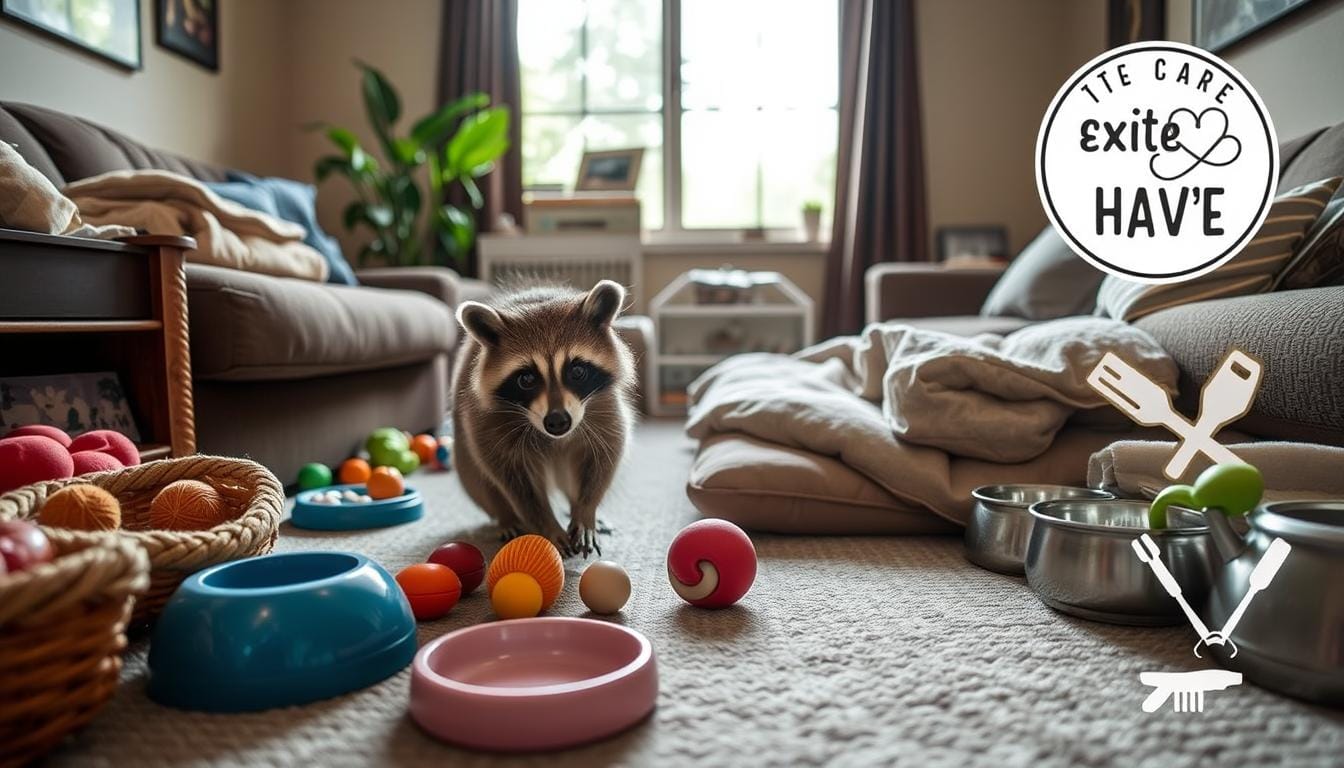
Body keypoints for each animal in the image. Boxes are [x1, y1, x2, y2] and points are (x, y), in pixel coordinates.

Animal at [451, 280, 635, 557]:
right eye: (526, 379)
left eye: (577, 371)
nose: (557, 421)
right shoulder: (488, 421)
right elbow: (514, 479)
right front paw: (545, 524)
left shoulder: (602, 406)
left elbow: (604, 456)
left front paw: (585, 511)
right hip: (465, 453)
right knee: (481, 481)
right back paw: (506, 517)